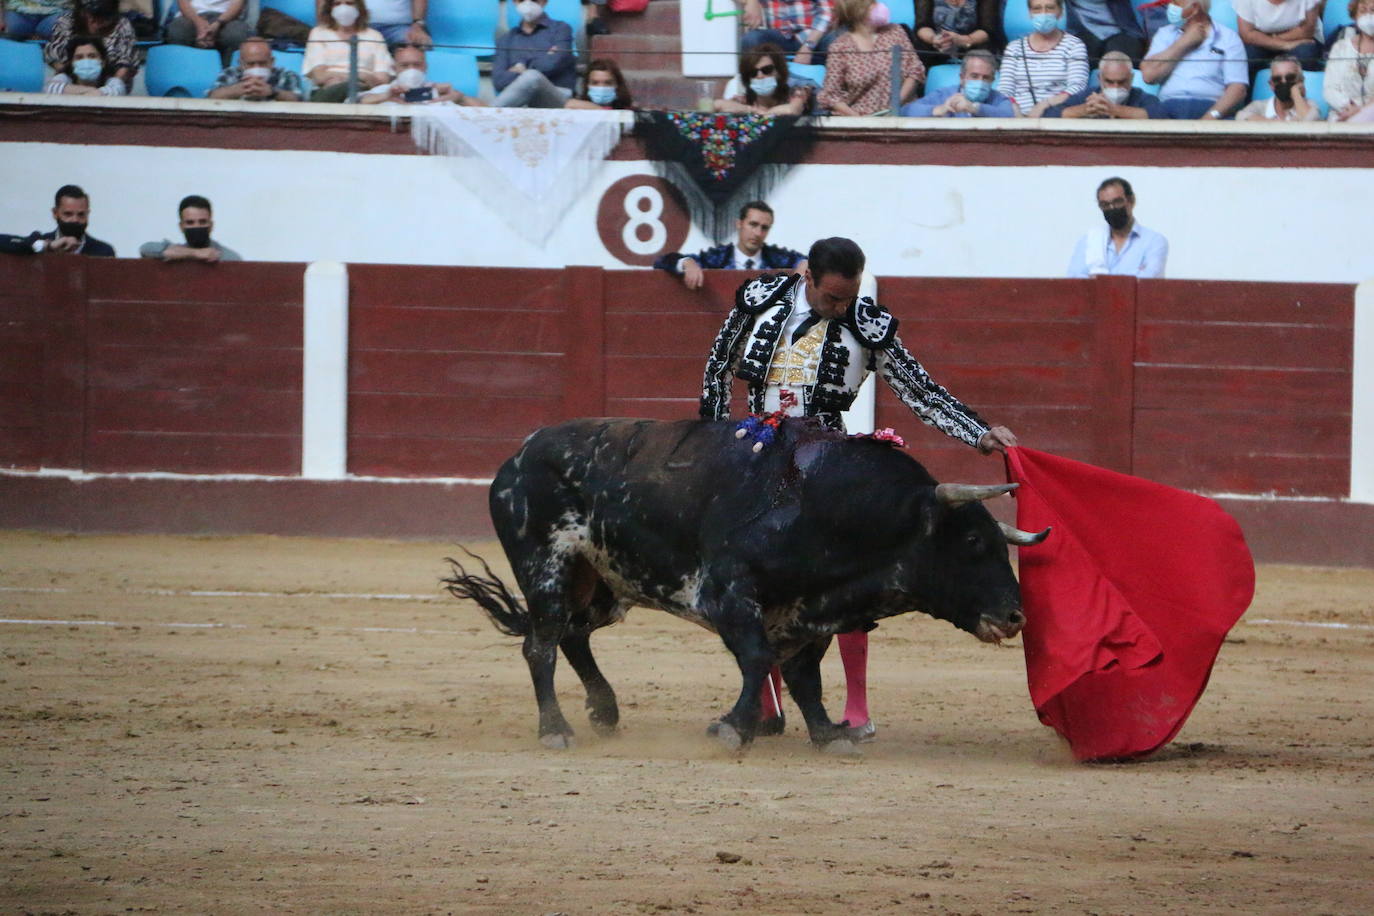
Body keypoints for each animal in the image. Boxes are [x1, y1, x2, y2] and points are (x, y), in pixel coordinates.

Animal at [445, 420, 1044, 758]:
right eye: (972, 541)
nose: (1016, 617)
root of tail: (517, 458)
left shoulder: (810, 614)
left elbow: (805, 678)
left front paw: (829, 734)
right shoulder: (728, 595)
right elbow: (758, 658)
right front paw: (734, 727)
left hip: (603, 583)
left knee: (572, 635)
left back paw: (604, 712)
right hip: (546, 565)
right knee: (540, 643)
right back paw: (557, 729)